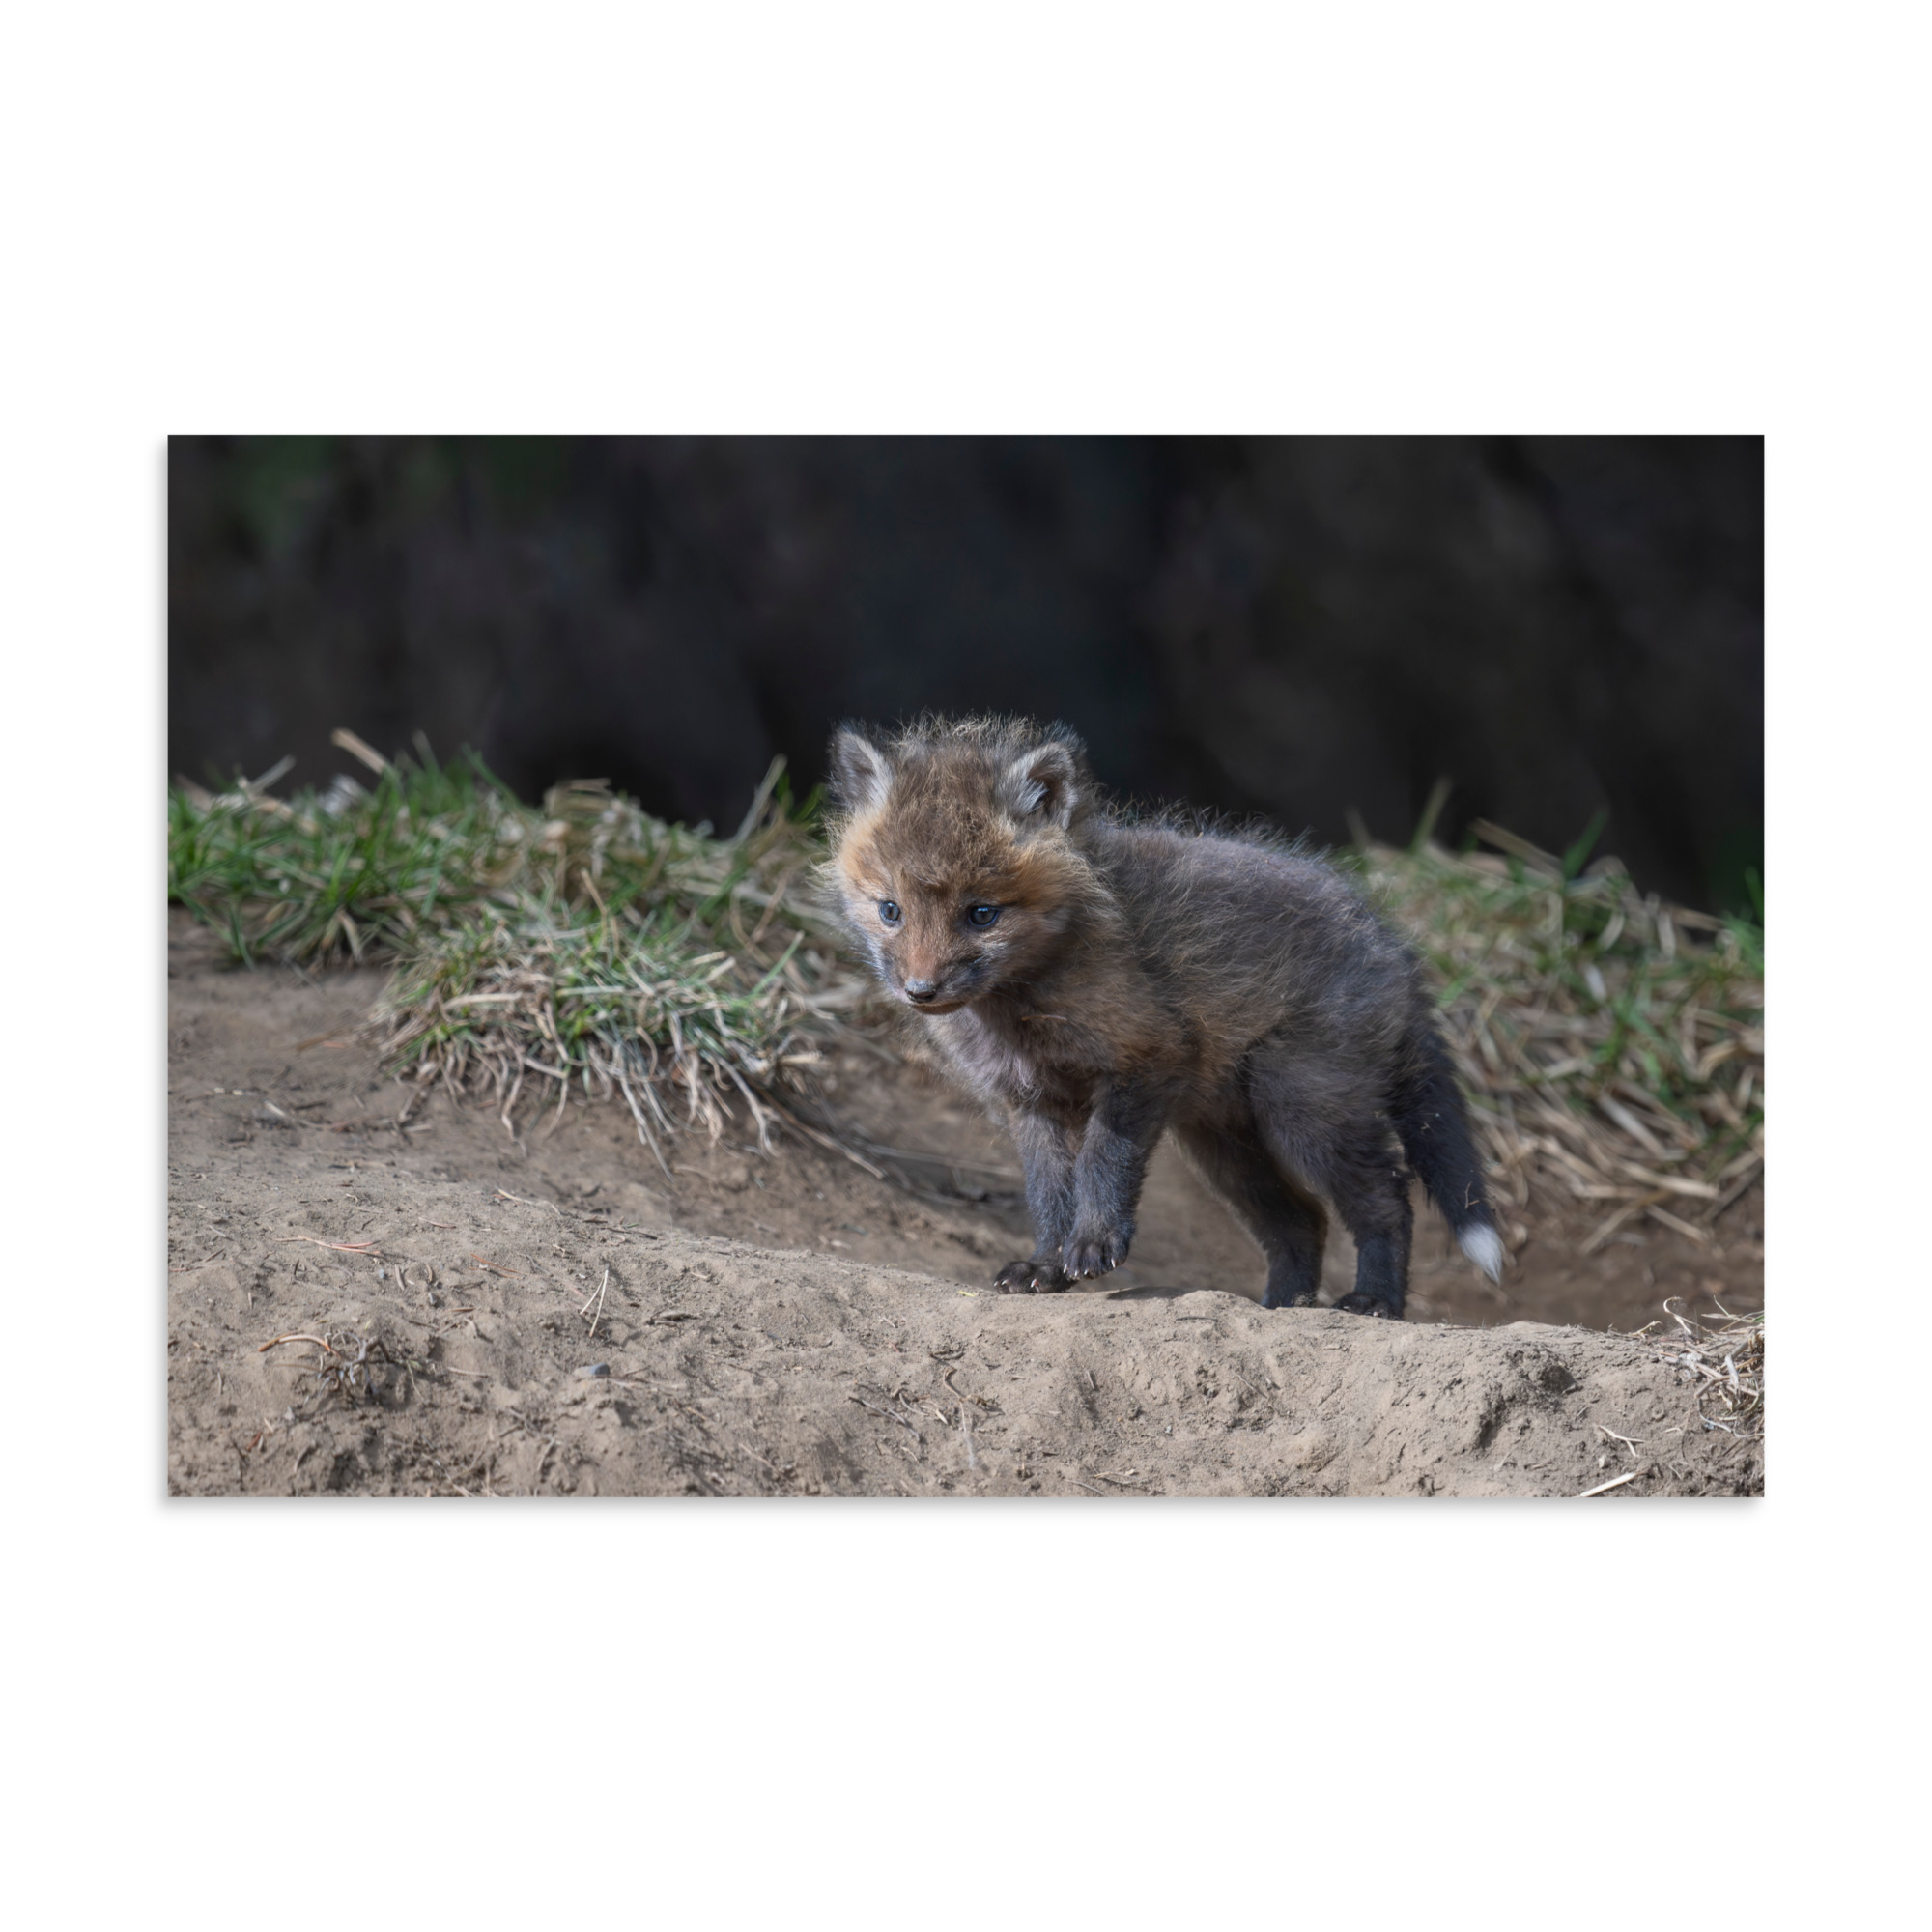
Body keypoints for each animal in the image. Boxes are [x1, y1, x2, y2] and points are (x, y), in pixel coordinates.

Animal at [824, 715, 1504, 1319]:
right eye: (890, 910)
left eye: (982, 914)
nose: (920, 991)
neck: (1022, 1009)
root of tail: (1393, 946)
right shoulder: (1032, 1101)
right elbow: (1048, 1193)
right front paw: (1045, 1265)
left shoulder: (1147, 1057)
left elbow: (1103, 1162)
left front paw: (1094, 1244)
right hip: (1224, 1145)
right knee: (1302, 1221)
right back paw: (1282, 1307)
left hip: (1302, 1110)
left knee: (1387, 1198)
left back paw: (1375, 1302)